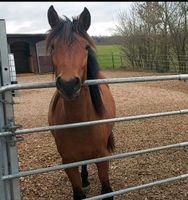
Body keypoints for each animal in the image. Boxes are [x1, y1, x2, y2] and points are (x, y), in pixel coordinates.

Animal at [46, 5, 115, 199]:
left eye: (85, 47)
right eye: (53, 47)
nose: (69, 84)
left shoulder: (102, 157)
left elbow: (107, 190)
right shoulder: (68, 162)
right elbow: (77, 192)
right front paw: (82, 183)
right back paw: (85, 180)